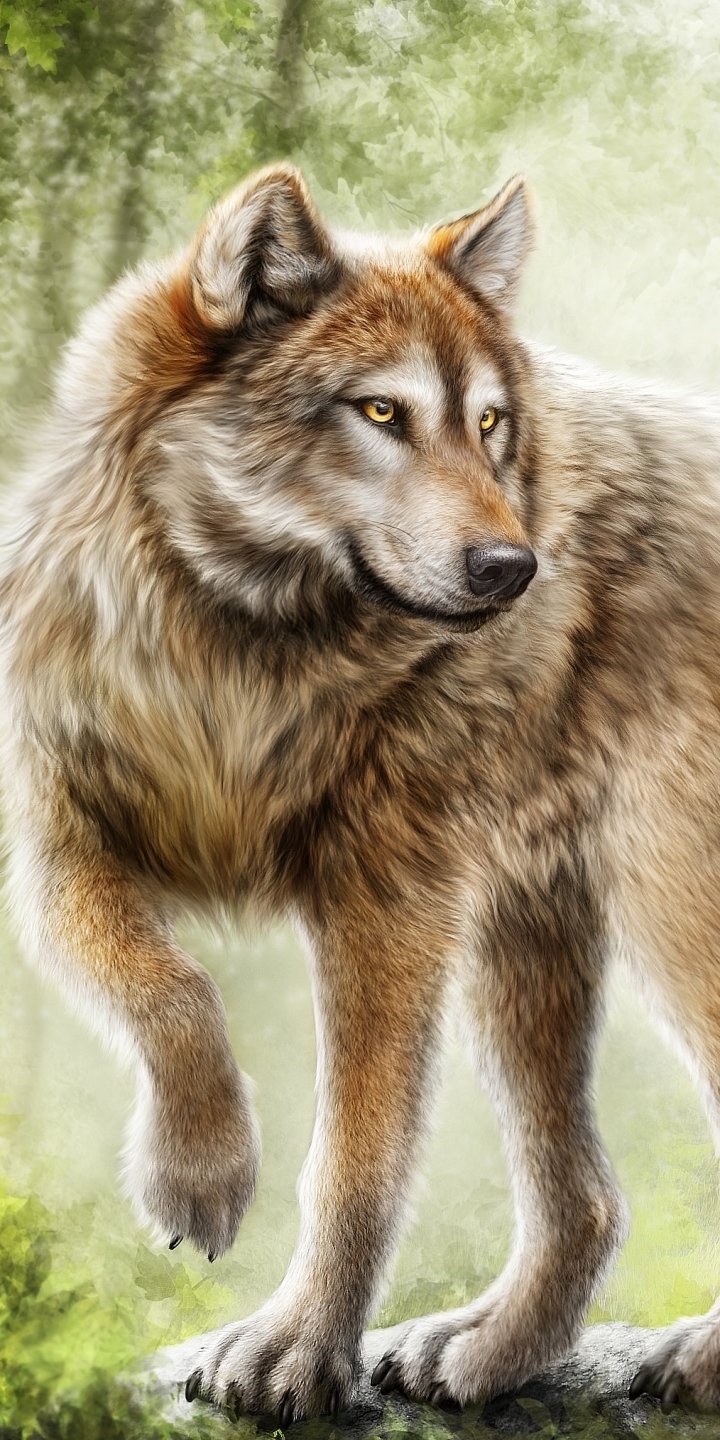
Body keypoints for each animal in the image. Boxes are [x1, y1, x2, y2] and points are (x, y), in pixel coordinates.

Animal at [2, 162, 720, 1422]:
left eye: (489, 424)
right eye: (382, 414)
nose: (515, 570)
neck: (240, 659)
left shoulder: (388, 905)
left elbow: (355, 1159)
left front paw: (295, 1349)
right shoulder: (57, 850)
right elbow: (171, 990)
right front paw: (198, 1177)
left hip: (665, 919)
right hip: (528, 944)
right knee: (586, 1203)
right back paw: (484, 1354)